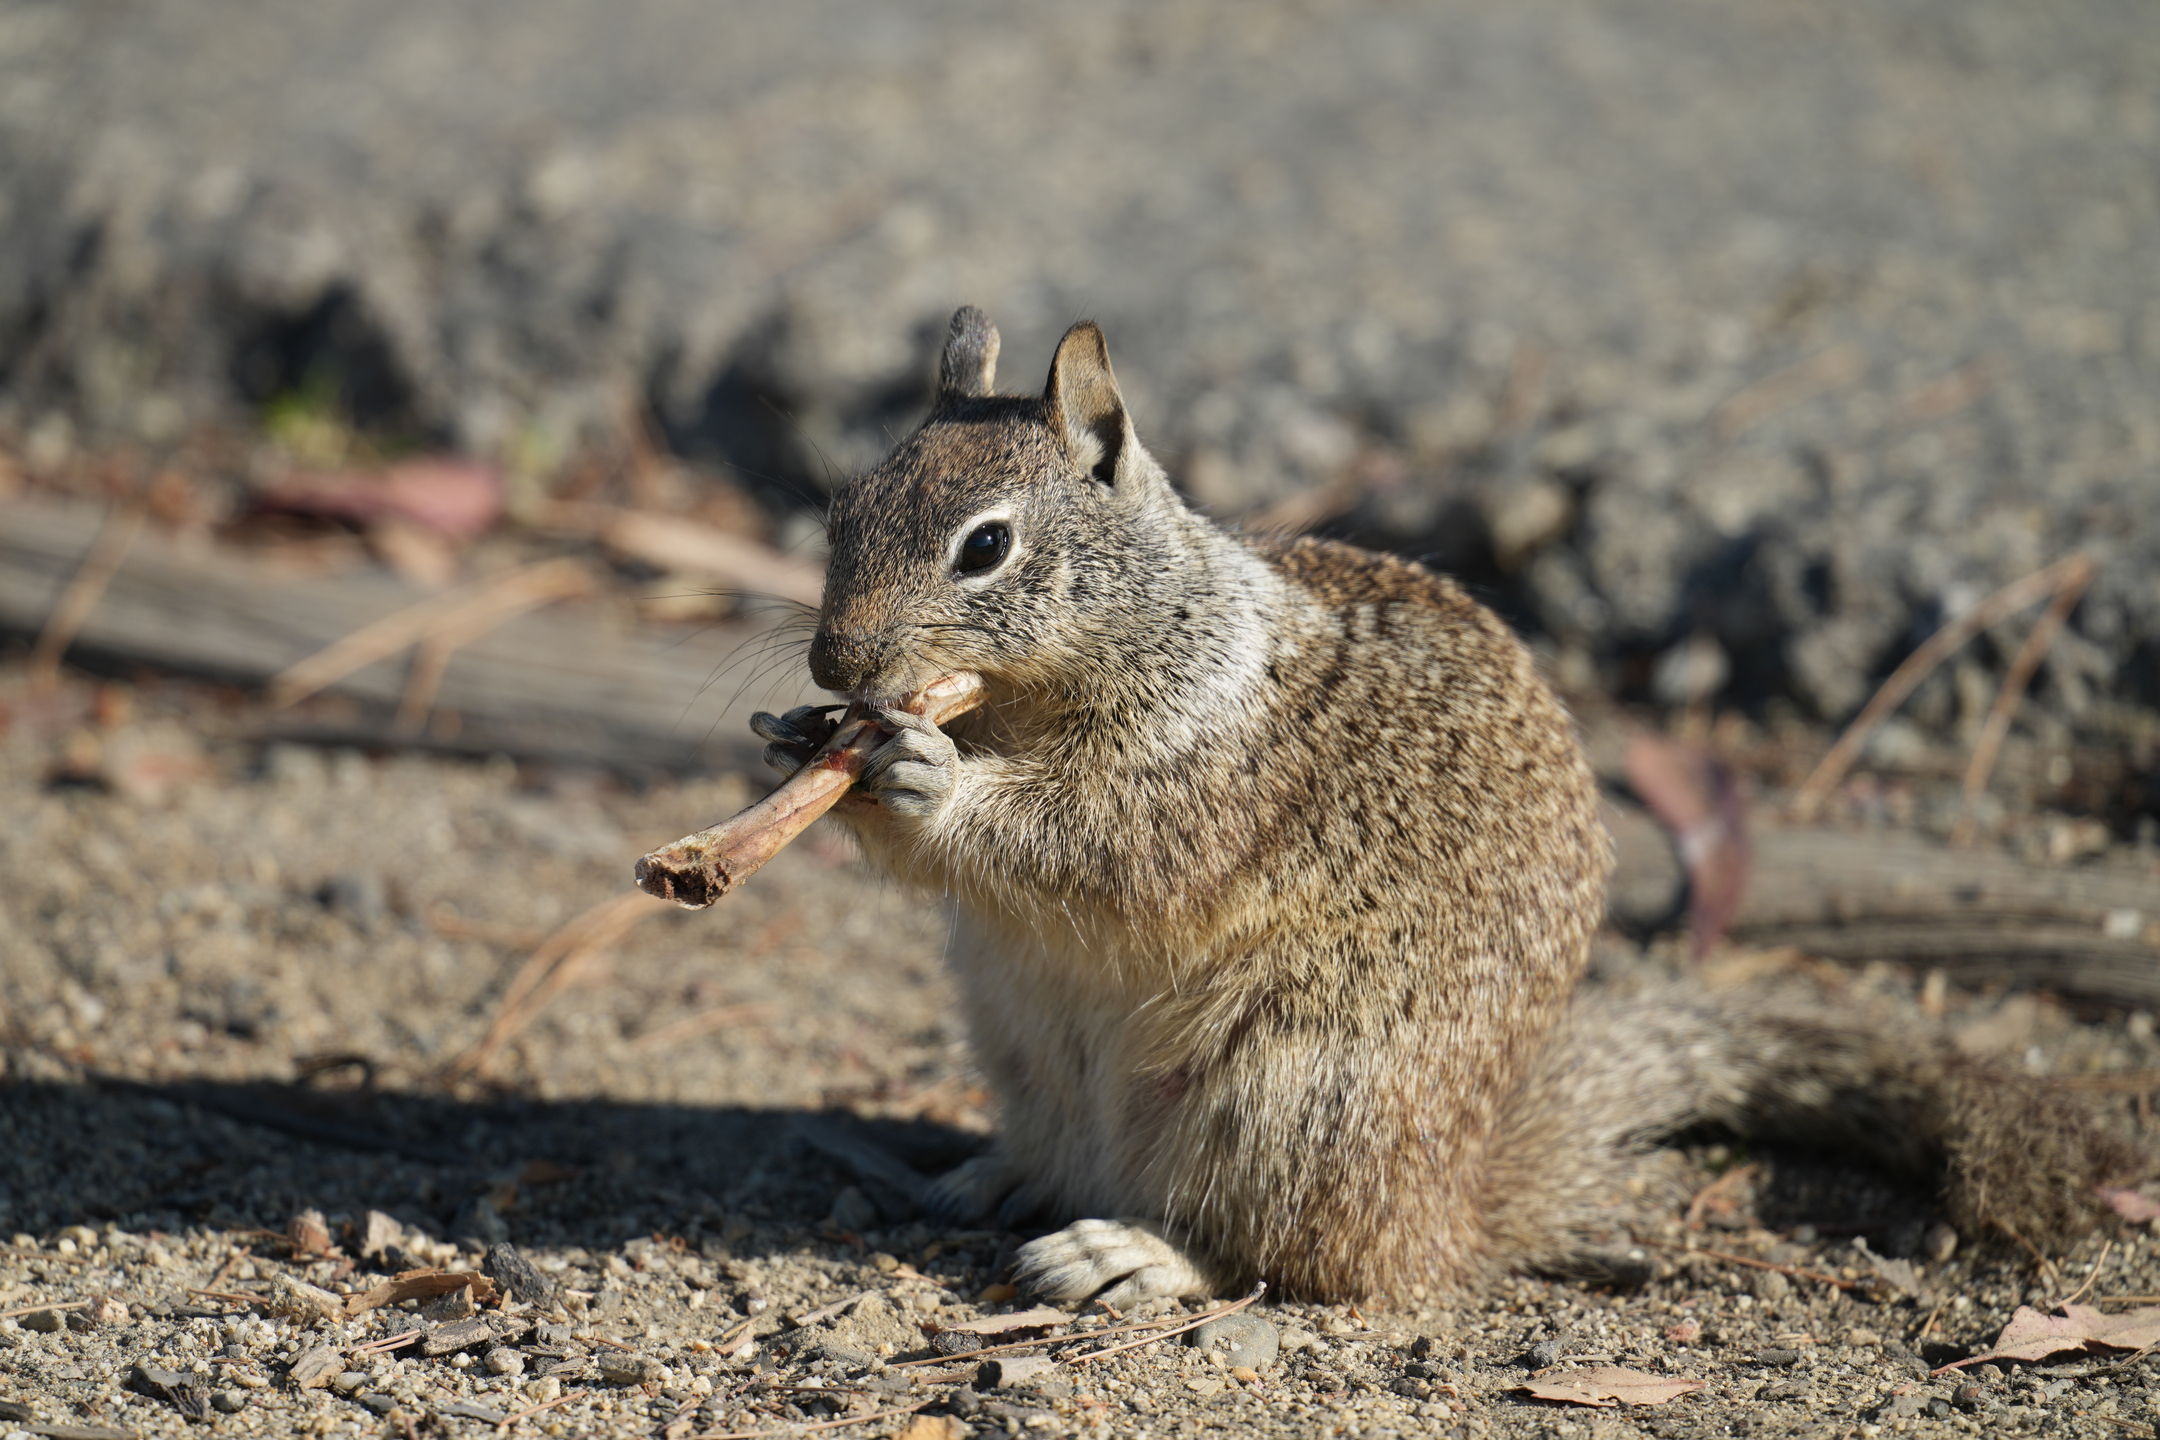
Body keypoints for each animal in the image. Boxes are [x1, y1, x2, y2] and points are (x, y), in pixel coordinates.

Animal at [749, 306, 2143, 1306]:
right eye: (842, 509)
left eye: (985, 547)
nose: (834, 663)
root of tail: (1451, 1201)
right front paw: (804, 750)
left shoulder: (1205, 778)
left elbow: (1094, 844)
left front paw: (928, 781)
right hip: (1029, 1046)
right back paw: (992, 1176)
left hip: (1290, 1099)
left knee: (1306, 1260)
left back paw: (1129, 1253)